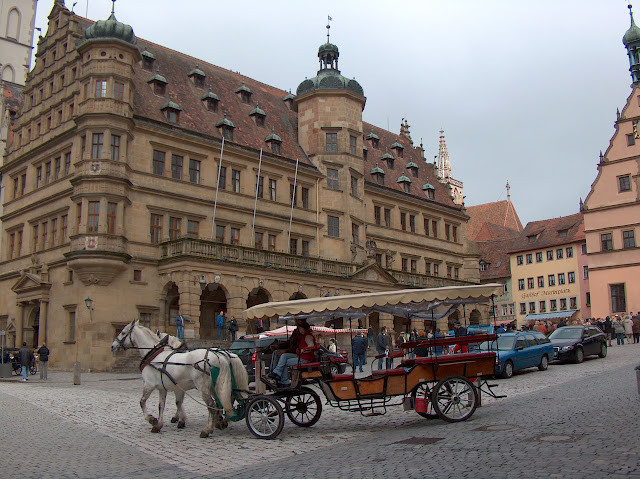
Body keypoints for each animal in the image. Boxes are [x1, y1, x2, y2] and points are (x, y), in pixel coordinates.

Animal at [112, 320, 248, 436]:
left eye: (123, 332)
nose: (113, 346)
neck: (155, 356)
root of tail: (219, 355)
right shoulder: (165, 388)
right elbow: (164, 405)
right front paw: (161, 424)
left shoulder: (149, 385)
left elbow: (142, 402)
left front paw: (152, 419)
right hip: (215, 385)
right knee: (222, 401)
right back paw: (220, 422)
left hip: (203, 386)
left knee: (212, 404)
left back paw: (207, 429)